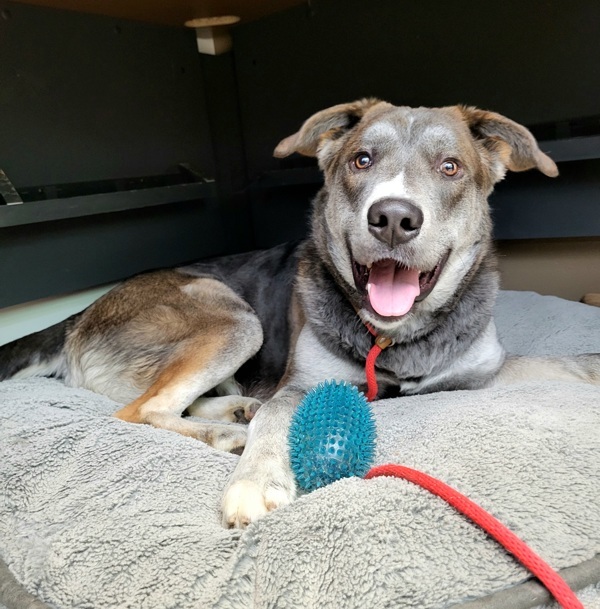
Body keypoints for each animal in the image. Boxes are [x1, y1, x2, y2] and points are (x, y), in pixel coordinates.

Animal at [1, 100, 600, 528]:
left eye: (450, 167)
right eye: (362, 160)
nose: (393, 217)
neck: (395, 338)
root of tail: (82, 313)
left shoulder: (483, 372)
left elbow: (565, 364)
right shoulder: (300, 384)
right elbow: (277, 419)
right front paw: (255, 480)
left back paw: (235, 411)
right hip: (233, 318)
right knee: (137, 411)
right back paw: (230, 434)